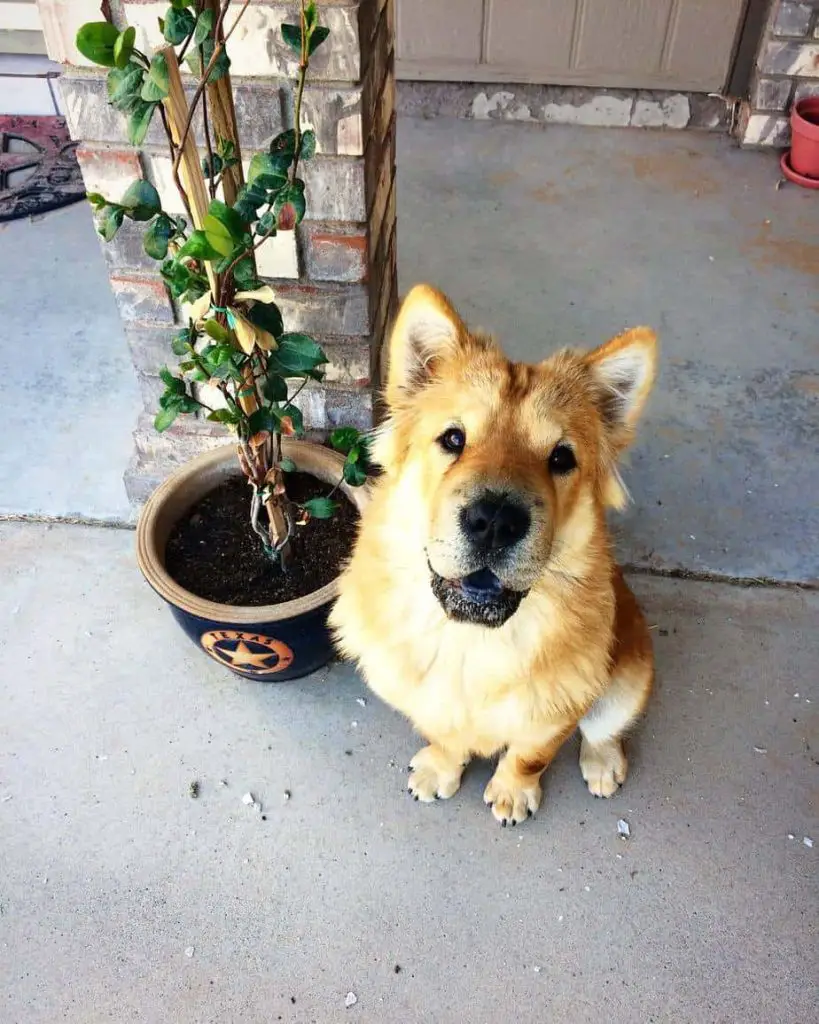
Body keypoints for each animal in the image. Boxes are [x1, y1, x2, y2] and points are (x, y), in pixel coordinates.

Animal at [329, 286, 655, 823]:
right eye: (453, 439)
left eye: (561, 457)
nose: (496, 522)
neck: (470, 643)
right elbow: (443, 736)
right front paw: (441, 769)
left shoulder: (557, 711)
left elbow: (531, 755)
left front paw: (513, 792)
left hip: (630, 673)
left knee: (604, 728)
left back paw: (603, 762)